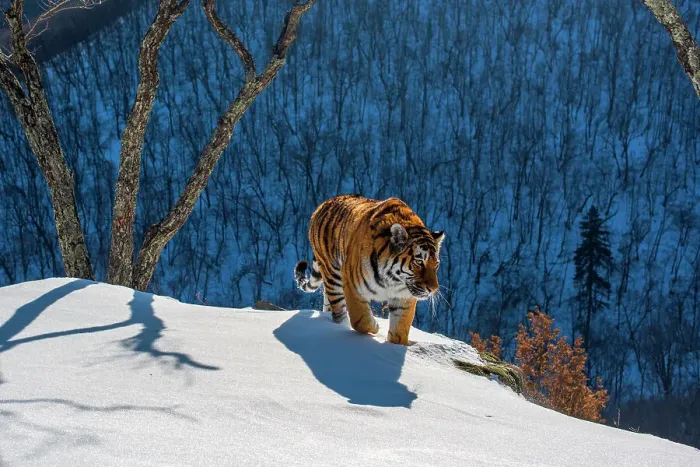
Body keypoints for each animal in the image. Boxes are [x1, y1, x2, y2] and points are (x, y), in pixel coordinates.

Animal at [294, 194, 445, 345]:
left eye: (436, 264)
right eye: (419, 262)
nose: (433, 289)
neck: (393, 279)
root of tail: (322, 205)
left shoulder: (404, 297)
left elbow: (400, 329)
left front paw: (395, 344)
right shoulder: (353, 287)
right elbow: (360, 320)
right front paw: (376, 327)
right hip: (333, 276)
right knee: (339, 310)